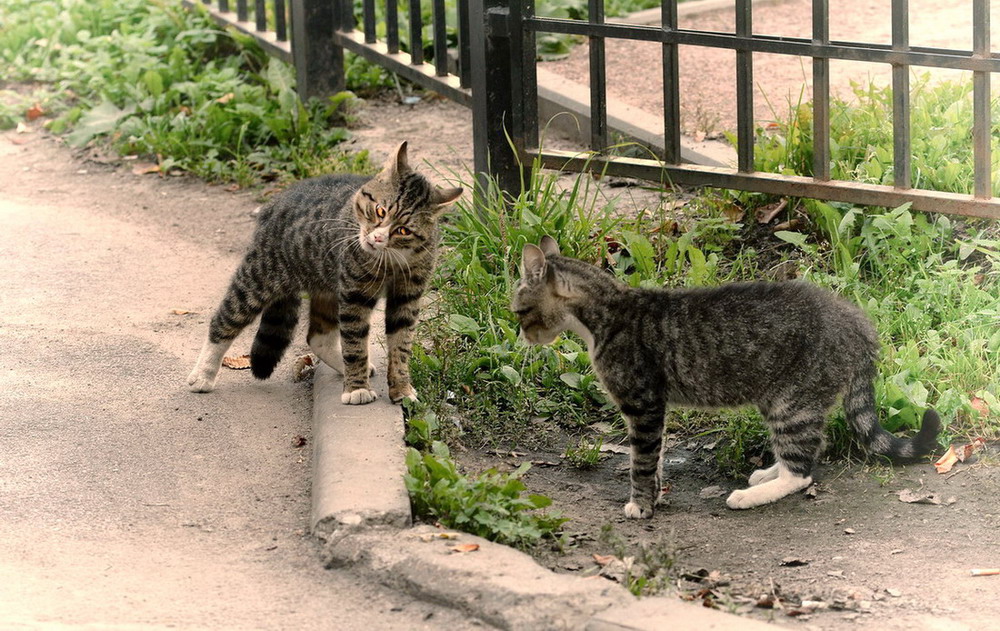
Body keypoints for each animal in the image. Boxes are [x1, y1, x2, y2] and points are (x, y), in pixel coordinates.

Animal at [188, 142, 460, 404]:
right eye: (380, 211)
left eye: (403, 230)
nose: (377, 238)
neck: (391, 260)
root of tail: (274, 203)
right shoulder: (355, 294)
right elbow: (354, 344)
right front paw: (357, 389)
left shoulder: (407, 298)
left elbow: (401, 347)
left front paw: (401, 389)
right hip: (258, 279)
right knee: (223, 320)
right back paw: (203, 374)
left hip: (327, 287)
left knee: (318, 338)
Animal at [512, 236, 940, 520]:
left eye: (518, 311)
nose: (521, 338)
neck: (607, 313)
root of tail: (856, 321)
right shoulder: (655, 408)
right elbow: (657, 457)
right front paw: (657, 495)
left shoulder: (642, 405)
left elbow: (642, 461)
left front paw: (641, 504)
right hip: (790, 401)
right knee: (810, 451)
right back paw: (767, 472)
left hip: (790, 402)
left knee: (802, 472)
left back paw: (752, 495)